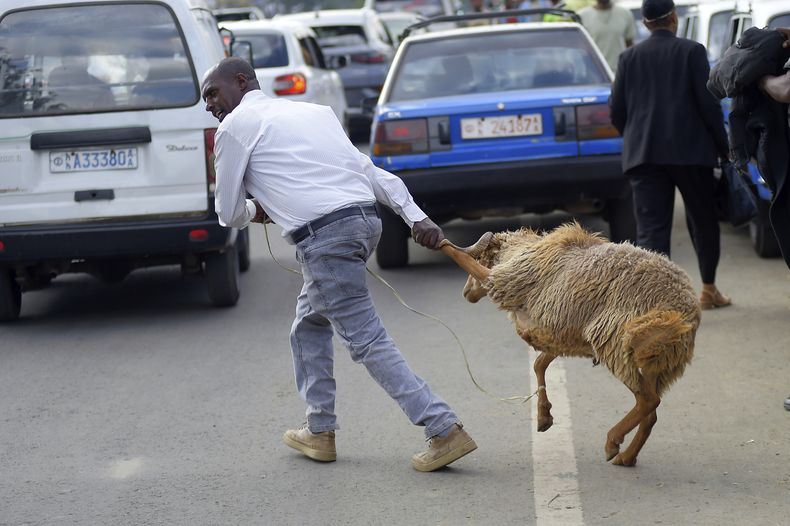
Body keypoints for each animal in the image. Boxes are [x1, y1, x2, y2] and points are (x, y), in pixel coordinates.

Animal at [439, 222, 700, 467]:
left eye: (481, 257)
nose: (466, 292)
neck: (523, 251)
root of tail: (684, 311)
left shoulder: (507, 282)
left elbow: (463, 259)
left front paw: (440, 242)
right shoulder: (558, 335)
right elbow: (539, 365)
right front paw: (544, 418)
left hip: (613, 341)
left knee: (648, 400)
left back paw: (612, 443)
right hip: (658, 362)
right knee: (651, 413)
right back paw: (627, 457)